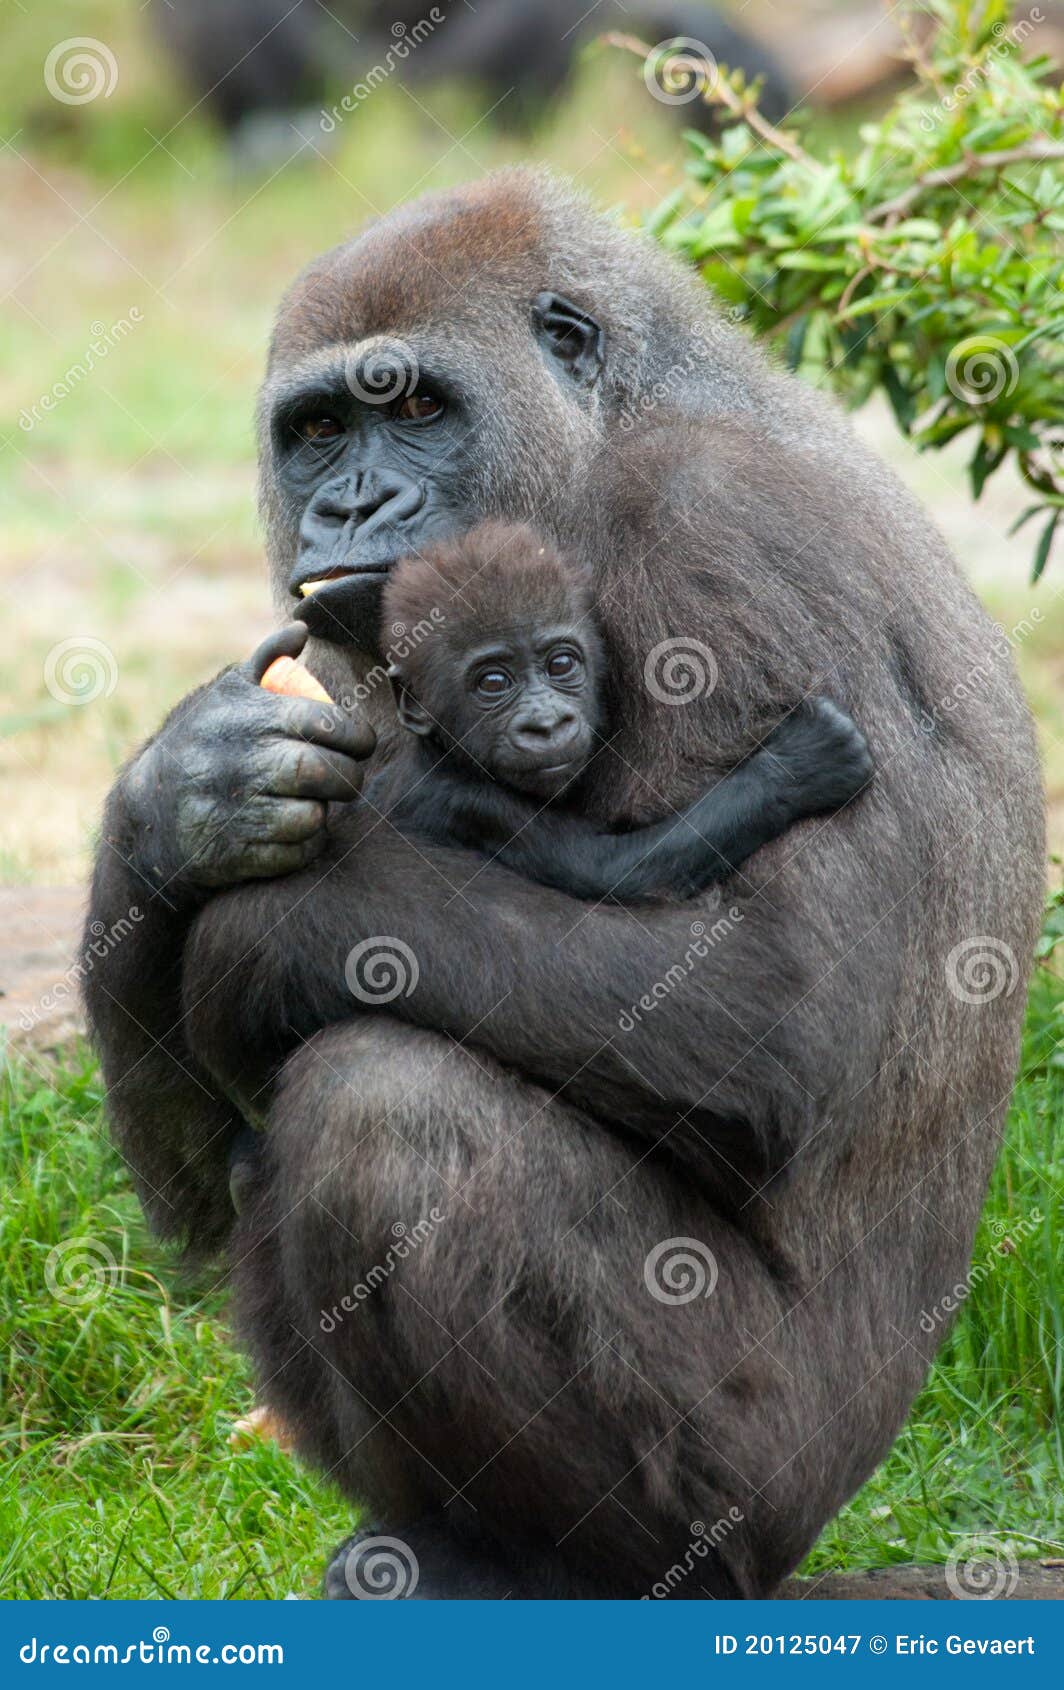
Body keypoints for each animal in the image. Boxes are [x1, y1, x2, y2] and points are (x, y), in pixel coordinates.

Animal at [363, 521, 874, 903]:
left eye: (561, 664)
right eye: (493, 683)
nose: (547, 724)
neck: (441, 752)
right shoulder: (466, 801)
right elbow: (610, 869)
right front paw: (799, 766)